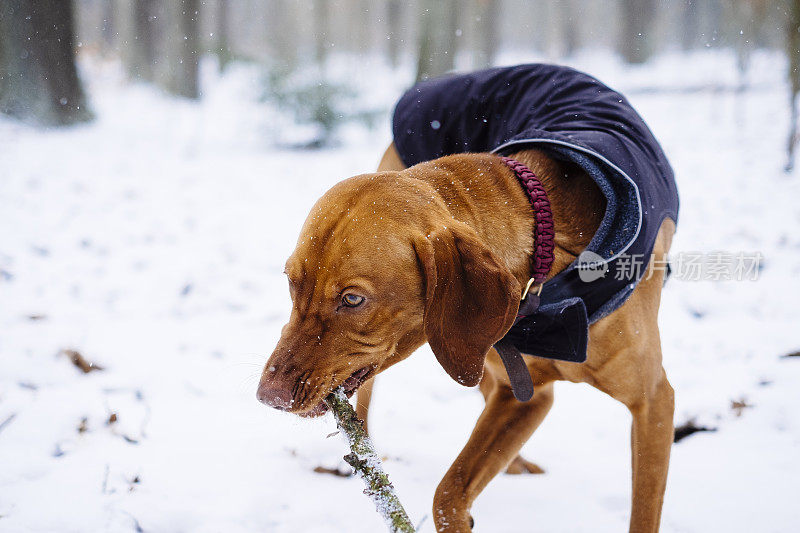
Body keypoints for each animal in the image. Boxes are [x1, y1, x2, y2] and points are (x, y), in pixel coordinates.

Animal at [258, 142, 676, 532]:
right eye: (292, 283)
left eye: (353, 299)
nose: (269, 396)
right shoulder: (521, 391)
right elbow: (449, 491)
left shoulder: (652, 402)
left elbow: (644, 511)